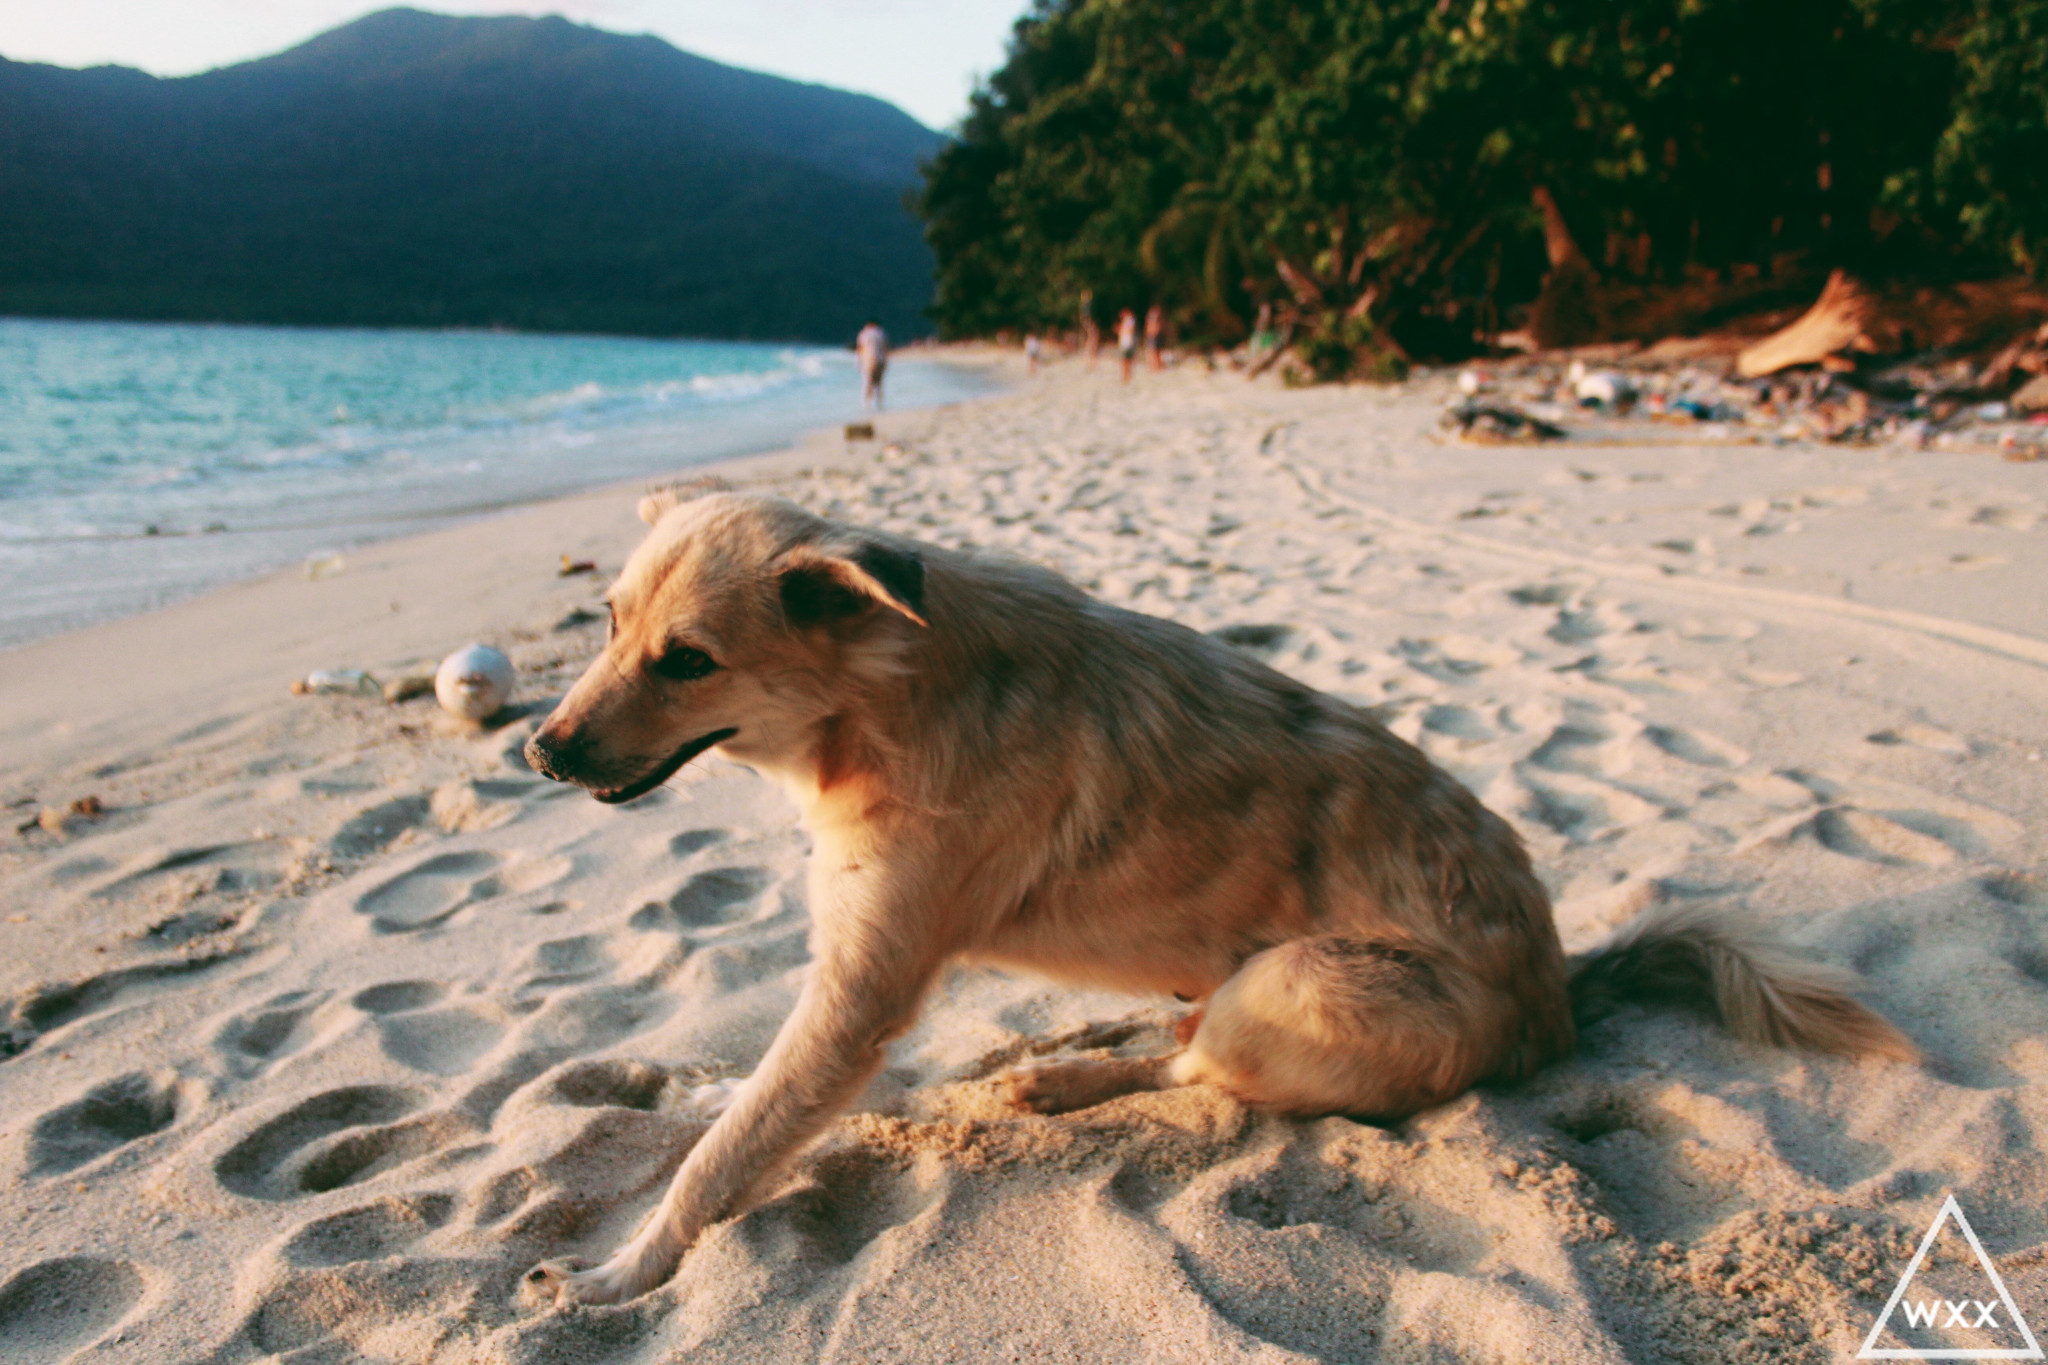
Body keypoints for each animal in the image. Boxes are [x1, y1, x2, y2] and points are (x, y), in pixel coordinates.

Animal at [516, 489, 1916, 1301]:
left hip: (1293, 980)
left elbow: (729, 1159)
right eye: (603, 622)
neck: (886, 684)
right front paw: (704, 1102)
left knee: (1208, 1070)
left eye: (687, 661)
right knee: (1184, 1041)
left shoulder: (864, 987)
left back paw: (1070, 1079)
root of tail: (1555, 994)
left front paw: (626, 1269)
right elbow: (753, 1106)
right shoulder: (848, 978)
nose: (538, 751)